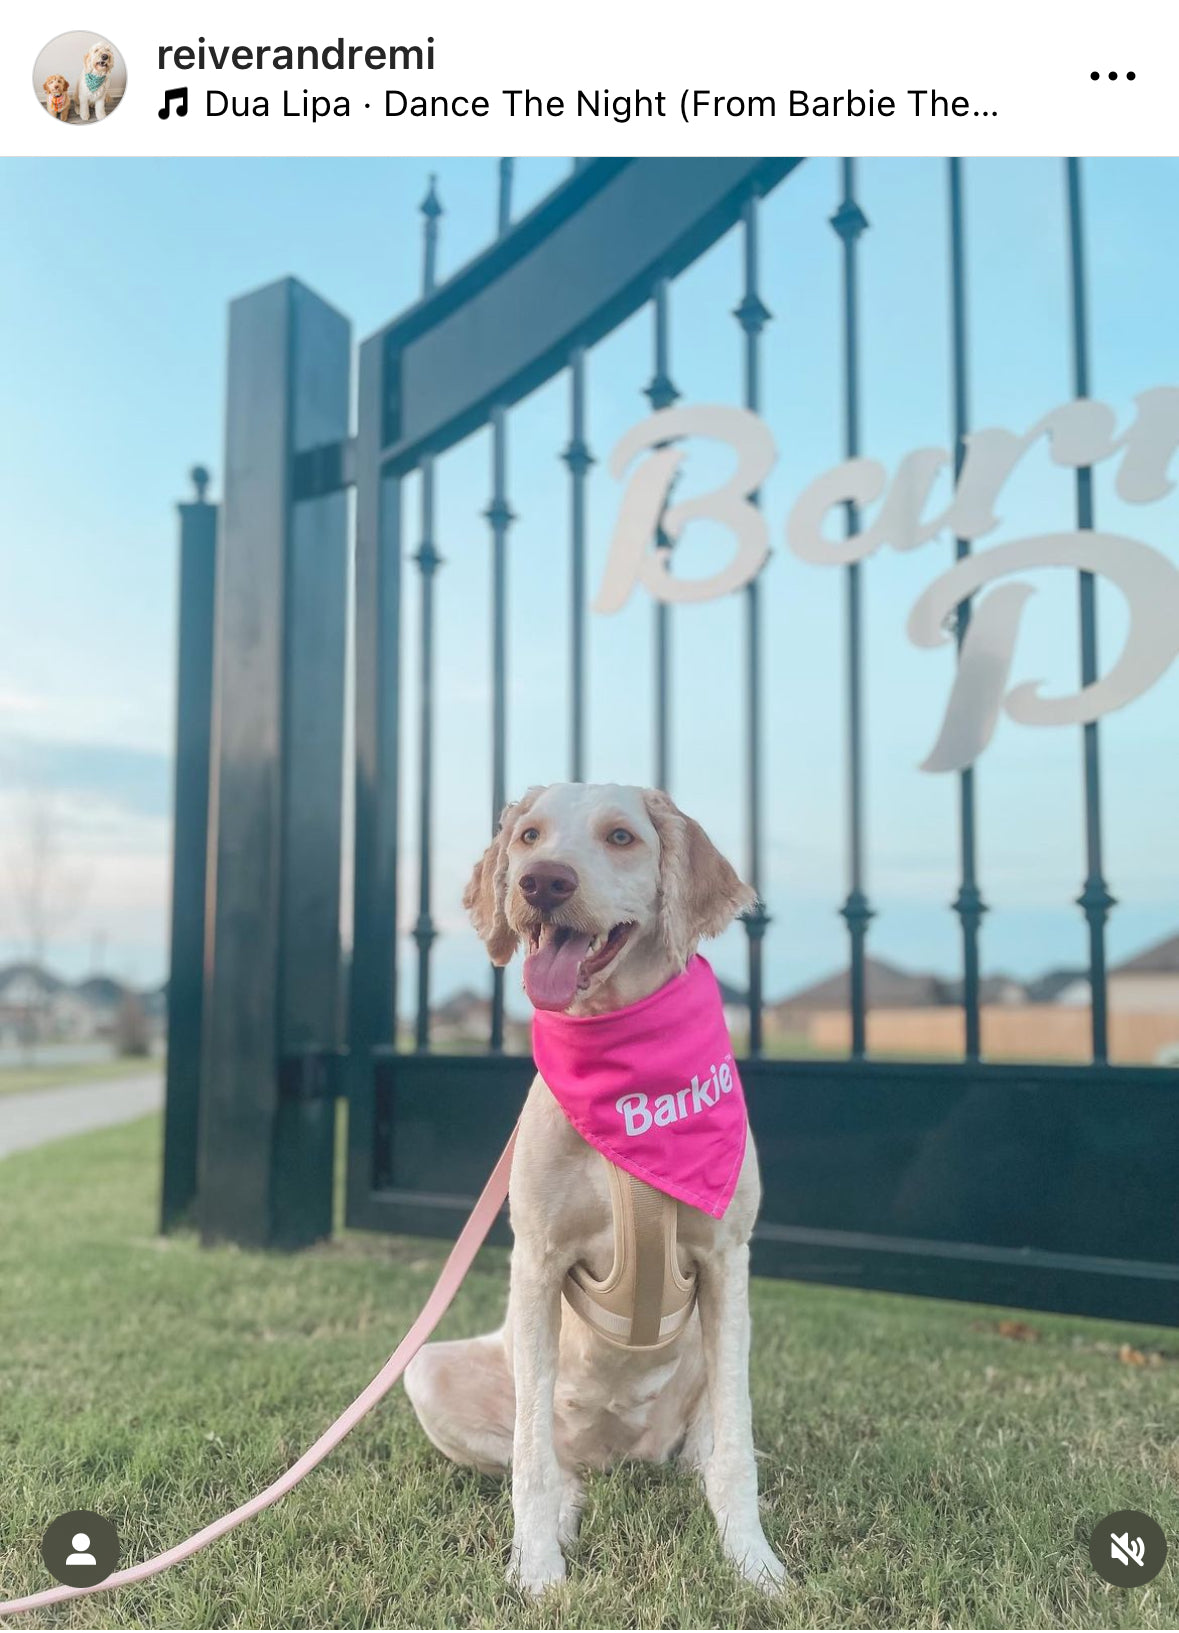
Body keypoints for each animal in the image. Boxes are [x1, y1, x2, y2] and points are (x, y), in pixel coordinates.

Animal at [400, 780, 783, 1593]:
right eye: (528, 835)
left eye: (620, 836)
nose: (541, 881)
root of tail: (618, 1453)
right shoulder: (537, 1260)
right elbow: (529, 1458)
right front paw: (538, 1571)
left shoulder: (726, 1259)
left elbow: (735, 1450)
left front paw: (754, 1562)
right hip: (429, 1370)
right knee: (549, 1460)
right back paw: (563, 1509)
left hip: (714, 1352)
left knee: (708, 1446)